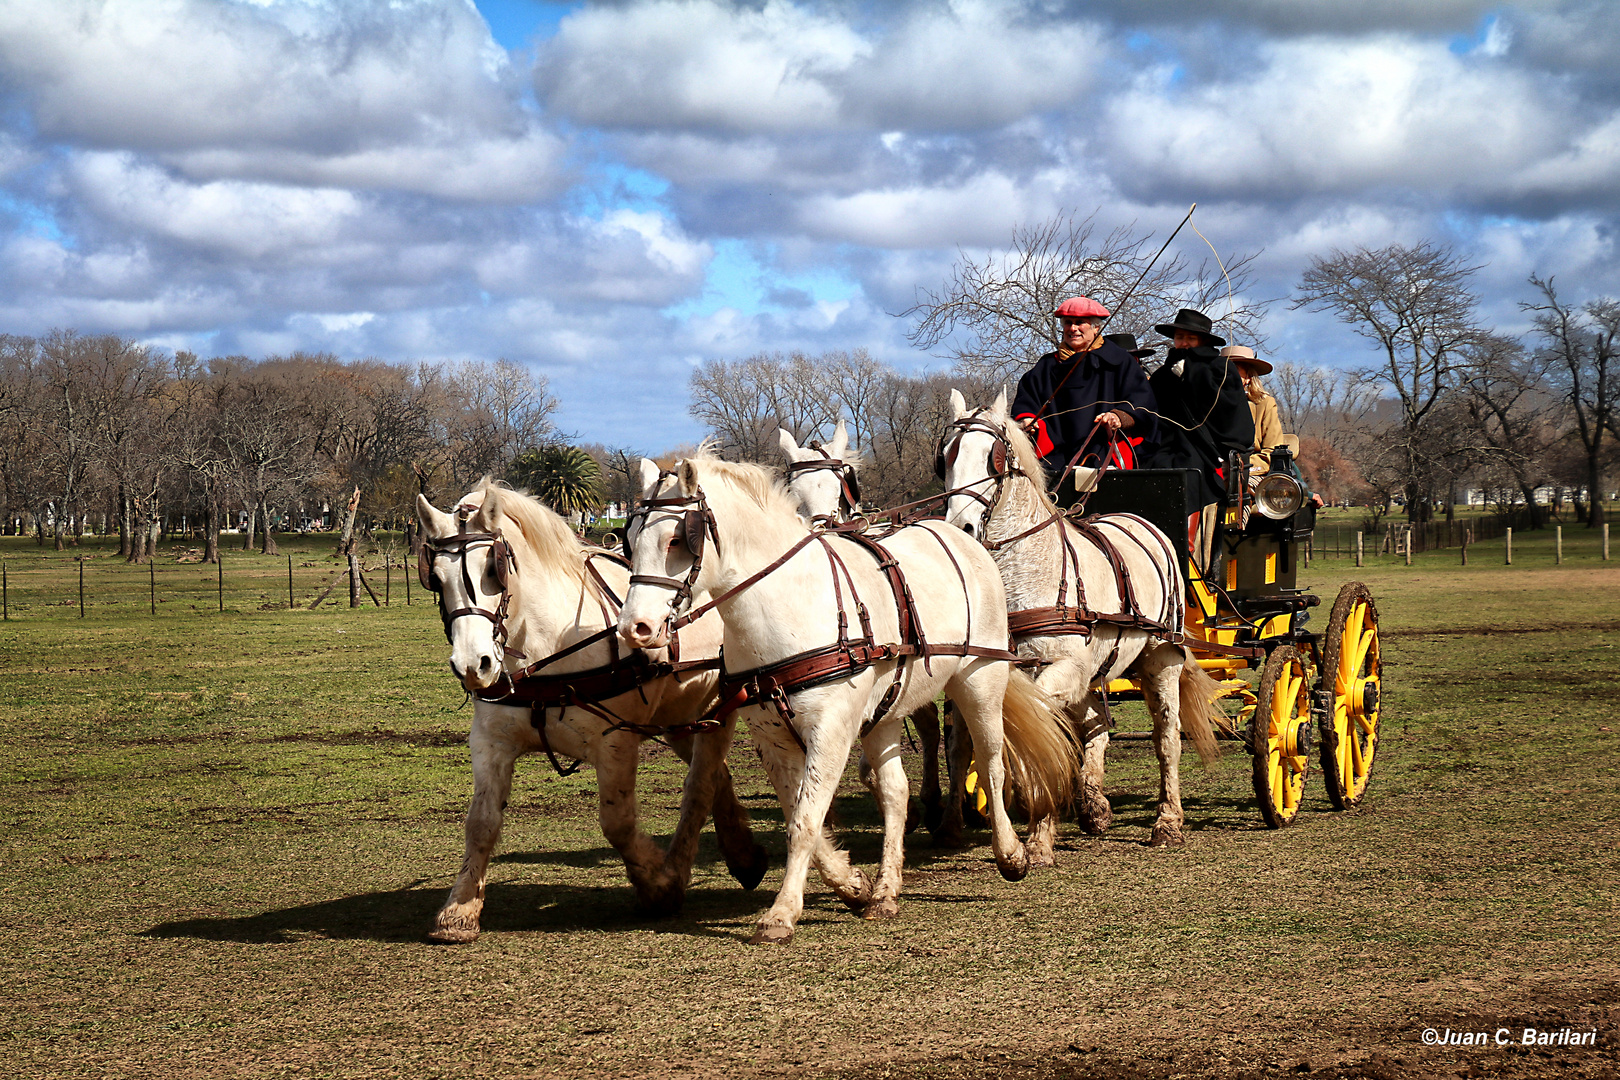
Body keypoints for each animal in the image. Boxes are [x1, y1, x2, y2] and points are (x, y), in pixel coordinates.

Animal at [417, 476, 771, 939]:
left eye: (494, 570)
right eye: (436, 579)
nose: (473, 665)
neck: (546, 646)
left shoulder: (614, 741)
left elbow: (616, 822)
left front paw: (658, 884)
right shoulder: (490, 741)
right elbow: (481, 822)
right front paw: (459, 909)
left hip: (716, 709)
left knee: (700, 785)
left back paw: (685, 866)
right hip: (680, 718)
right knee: (716, 776)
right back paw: (744, 855)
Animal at [615, 456, 1075, 945]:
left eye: (677, 539)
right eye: (629, 540)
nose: (634, 628)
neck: (787, 607)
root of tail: (959, 535)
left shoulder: (830, 731)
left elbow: (804, 822)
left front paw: (781, 914)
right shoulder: (773, 738)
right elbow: (803, 817)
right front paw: (853, 884)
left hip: (981, 681)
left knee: (990, 762)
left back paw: (1011, 853)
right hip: (884, 714)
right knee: (895, 793)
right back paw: (886, 892)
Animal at [939, 388, 1218, 854]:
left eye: (992, 456)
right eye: (945, 456)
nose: (961, 527)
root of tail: (1141, 521)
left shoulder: (1061, 668)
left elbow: (1039, 736)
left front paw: (1038, 838)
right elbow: (971, 742)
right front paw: (958, 823)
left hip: (1161, 658)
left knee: (1166, 738)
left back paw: (1167, 820)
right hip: (1095, 672)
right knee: (1097, 725)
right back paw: (1093, 805)